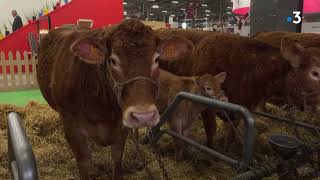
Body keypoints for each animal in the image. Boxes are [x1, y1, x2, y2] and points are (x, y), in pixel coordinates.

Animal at [36, 19, 194, 179]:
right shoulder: (71, 125)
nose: (143, 116)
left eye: (156, 59)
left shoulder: (121, 127)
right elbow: (84, 162)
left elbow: (117, 159)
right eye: (113, 60)